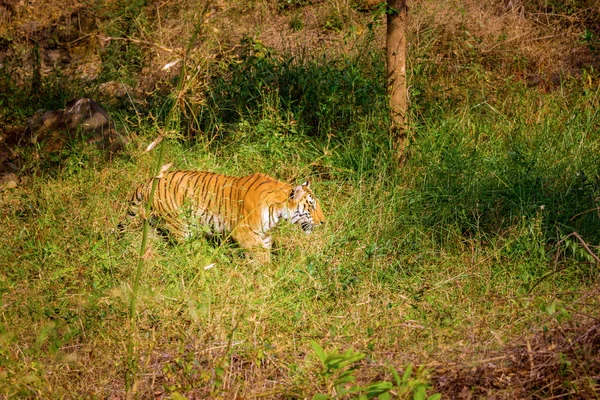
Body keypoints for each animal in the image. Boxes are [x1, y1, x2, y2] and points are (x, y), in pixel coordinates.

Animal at [120, 171, 326, 262]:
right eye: (311, 206)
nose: (324, 222)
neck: (279, 209)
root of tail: (147, 181)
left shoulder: (264, 235)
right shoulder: (244, 232)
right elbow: (261, 255)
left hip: (155, 223)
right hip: (180, 226)